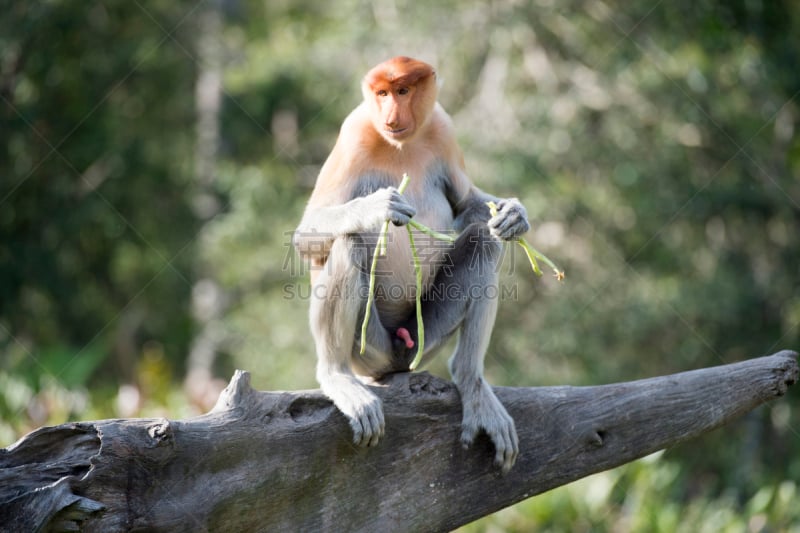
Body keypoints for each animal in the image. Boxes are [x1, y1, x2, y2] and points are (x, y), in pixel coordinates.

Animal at [296, 56, 532, 472]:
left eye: (403, 91)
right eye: (382, 93)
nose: (391, 116)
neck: (401, 144)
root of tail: (398, 355)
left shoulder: (442, 128)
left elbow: (468, 203)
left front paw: (513, 215)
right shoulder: (354, 132)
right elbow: (306, 234)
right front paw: (380, 206)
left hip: (427, 338)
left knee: (483, 241)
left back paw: (471, 382)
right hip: (368, 349)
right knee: (350, 242)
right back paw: (337, 377)